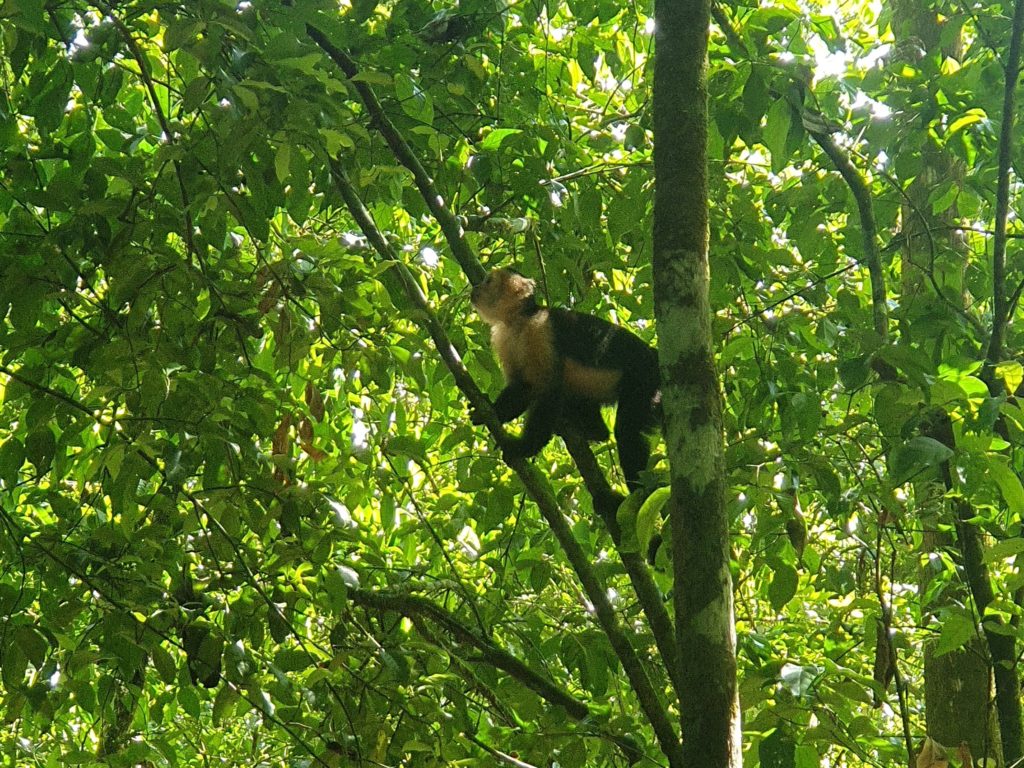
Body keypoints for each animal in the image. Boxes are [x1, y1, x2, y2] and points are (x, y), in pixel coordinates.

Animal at [468, 268, 659, 489]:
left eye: (488, 281)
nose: (475, 287)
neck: (519, 321)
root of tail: (653, 355)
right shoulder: (503, 338)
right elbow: (523, 386)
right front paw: (491, 411)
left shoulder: (540, 330)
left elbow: (548, 389)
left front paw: (523, 447)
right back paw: (594, 431)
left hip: (643, 380)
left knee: (627, 430)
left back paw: (639, 491)